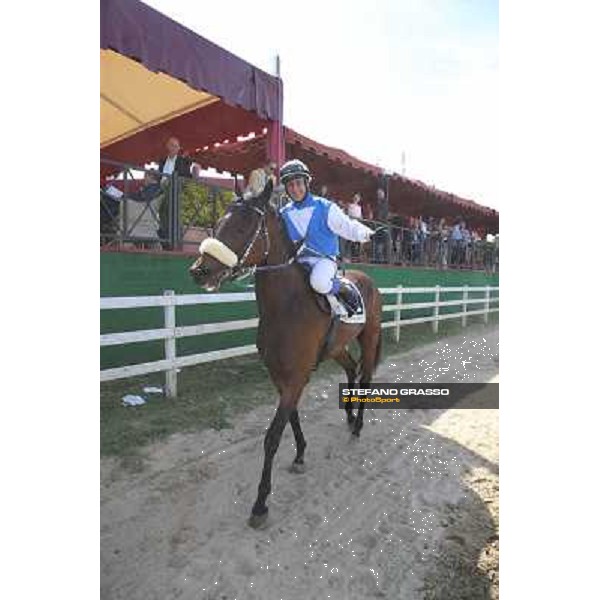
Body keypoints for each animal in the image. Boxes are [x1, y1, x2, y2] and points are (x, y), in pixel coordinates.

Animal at [190, 180, 382, 528]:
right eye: (220, 221)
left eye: (243, 225)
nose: (200, 271)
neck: (287, 306)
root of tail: (366, 280)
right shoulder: (281, 377)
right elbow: (291, 419)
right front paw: (301, 454)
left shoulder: (295, 378)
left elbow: (272, 436)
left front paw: (260, 503)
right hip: (338, 348)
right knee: (351, 369)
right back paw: (349, 416)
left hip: (370, 336)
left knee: (366, 377)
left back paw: (358, 424)